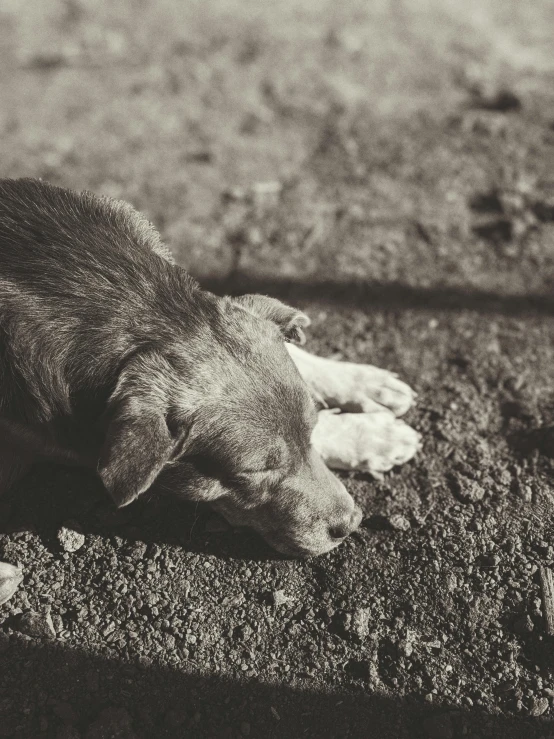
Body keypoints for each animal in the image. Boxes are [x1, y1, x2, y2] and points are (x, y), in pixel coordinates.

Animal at [0, 178, 416, 600]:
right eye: (253, 471)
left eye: (309, 431)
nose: (349, 524)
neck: (128, 306)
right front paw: (371, 435)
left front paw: (358, 385)